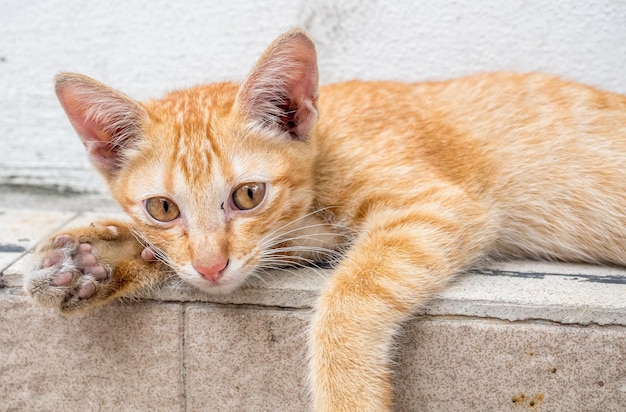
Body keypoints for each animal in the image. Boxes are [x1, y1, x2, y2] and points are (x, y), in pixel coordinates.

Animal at [24, 29, 624, 412]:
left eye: (248, 195)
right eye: (163, 209)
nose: (212, 268)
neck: (324, 148)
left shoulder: (439, 207)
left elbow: (349, 295)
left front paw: (347, 395)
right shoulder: (301, 235)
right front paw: (93, 259)